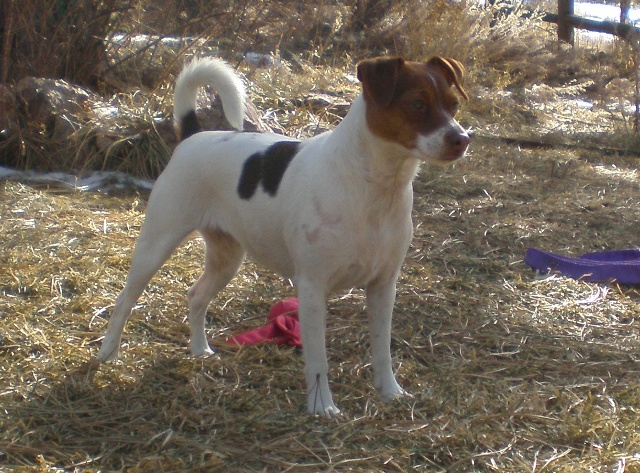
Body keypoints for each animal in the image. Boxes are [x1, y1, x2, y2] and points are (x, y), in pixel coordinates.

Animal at [99, 56, 470, 416]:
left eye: (453, 104)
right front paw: (322, 407)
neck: (373, 187)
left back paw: (200, 349)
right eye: (417, 104)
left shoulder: (383, 287)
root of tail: (193, 136)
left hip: (227, 258)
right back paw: (108, 354)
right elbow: (318, 360)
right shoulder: (312, 288)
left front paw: (390, 392)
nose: (462, 139)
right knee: (124, 300)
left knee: (196, 296)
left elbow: (382, 350)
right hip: (157, 244)